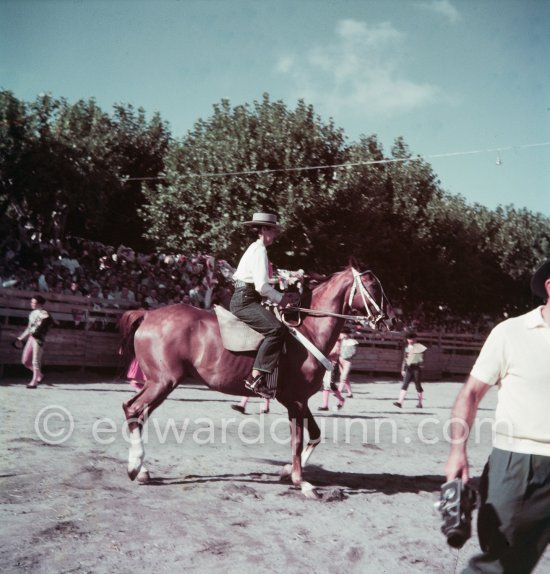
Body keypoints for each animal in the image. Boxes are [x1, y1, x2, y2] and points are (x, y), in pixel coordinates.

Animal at [119, 266, 396, 500]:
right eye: (373, 286)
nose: (390, 319)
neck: (308, 331)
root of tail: (148, 314)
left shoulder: (297, 400)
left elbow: (315, 435)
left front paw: (287, 471)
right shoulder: (296, 401)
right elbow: (297, 441)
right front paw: (301, 482)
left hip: (160, 383)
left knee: (137, 413)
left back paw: (140, 469)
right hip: (163, 382)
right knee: (133, 409)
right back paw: (135, 468)